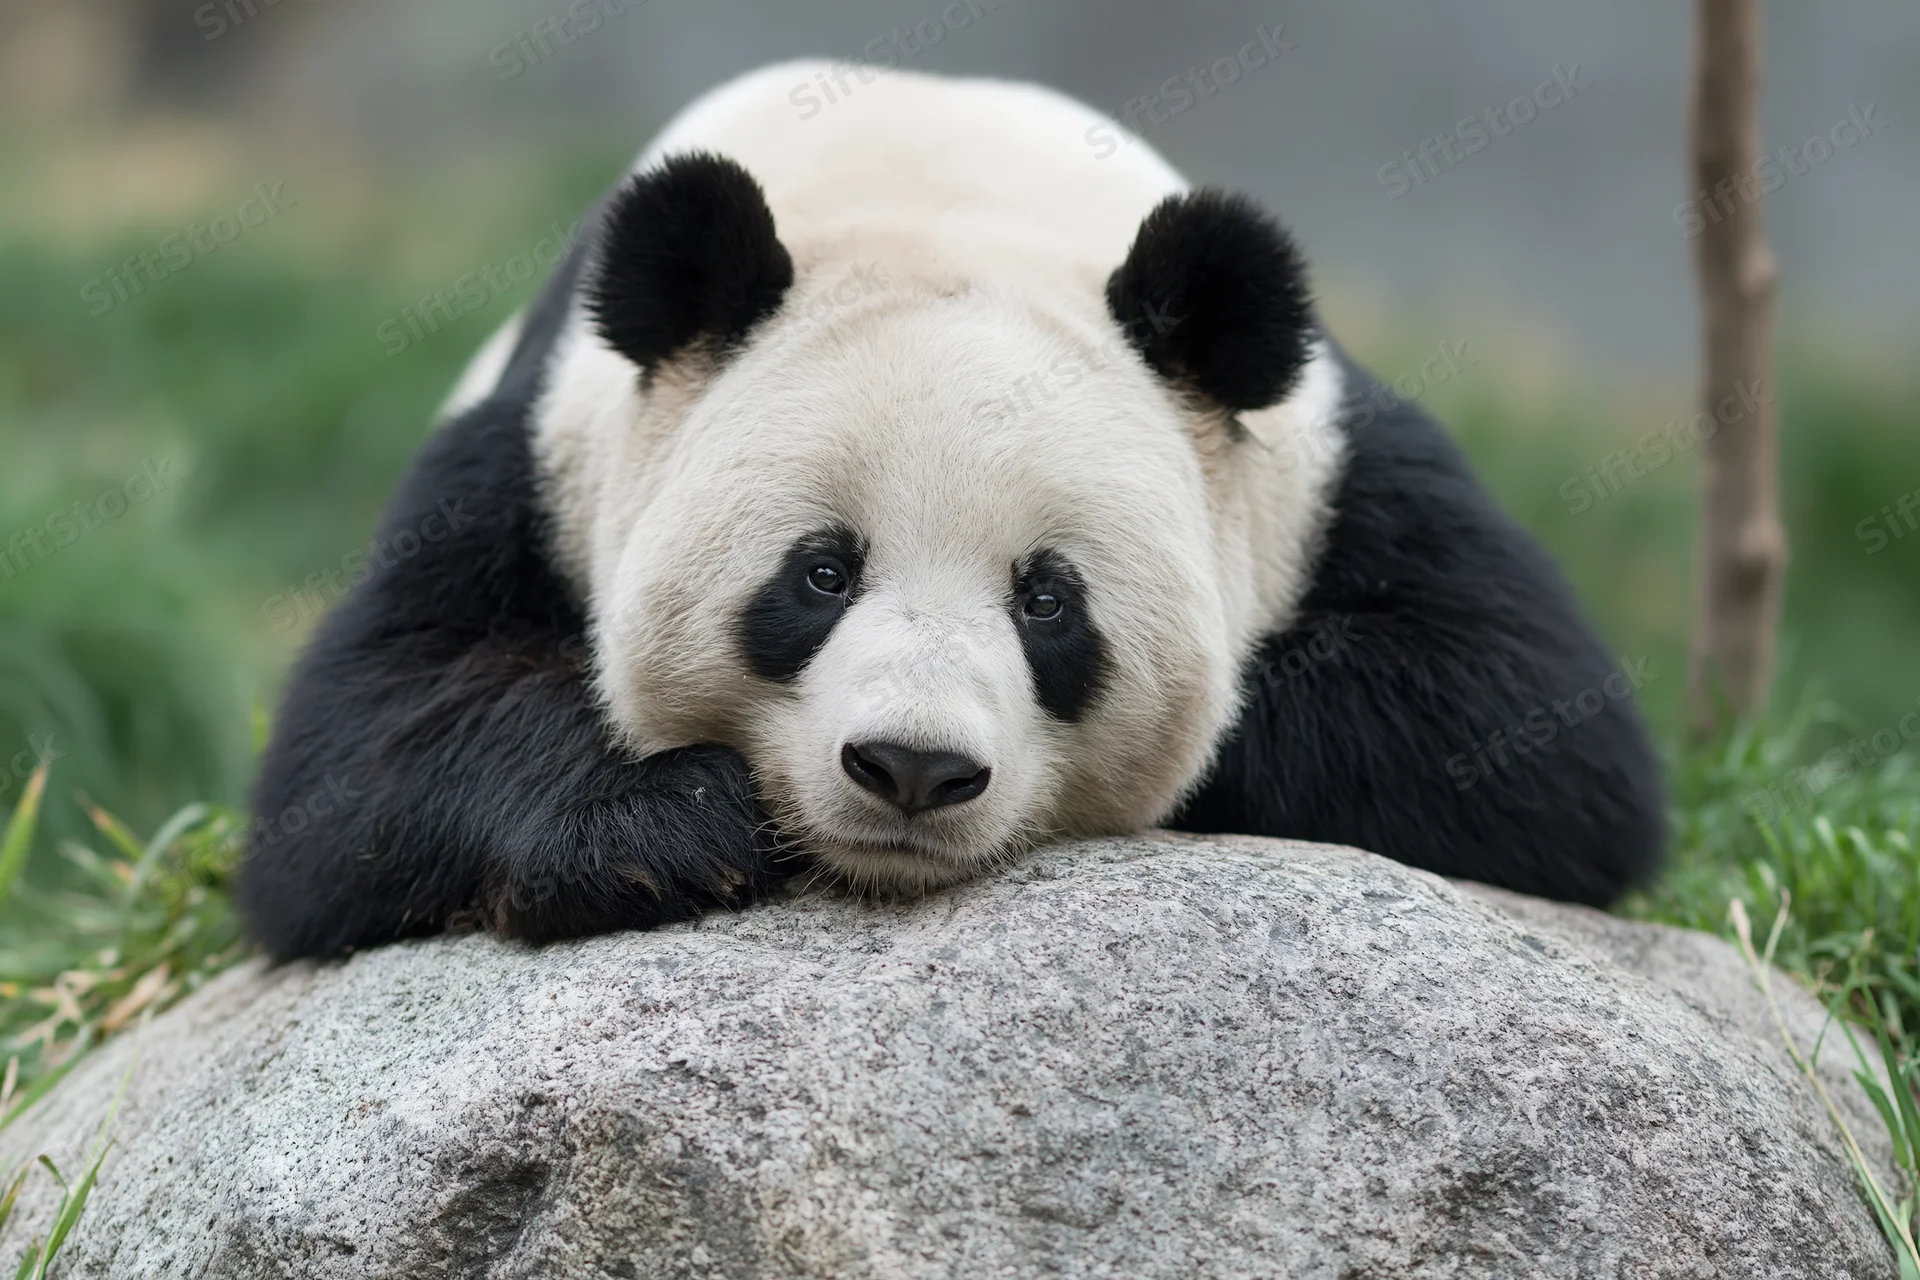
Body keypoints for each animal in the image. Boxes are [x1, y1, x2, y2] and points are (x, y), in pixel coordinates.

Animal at [242, 62, 1665, 959]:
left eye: (1049, 598)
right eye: (819, 573)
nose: (912, 768)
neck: (935, 194)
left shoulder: (1326, 465)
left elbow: (1525, 724)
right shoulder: (546, 450)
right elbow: (360, 746)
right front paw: (659, 824)